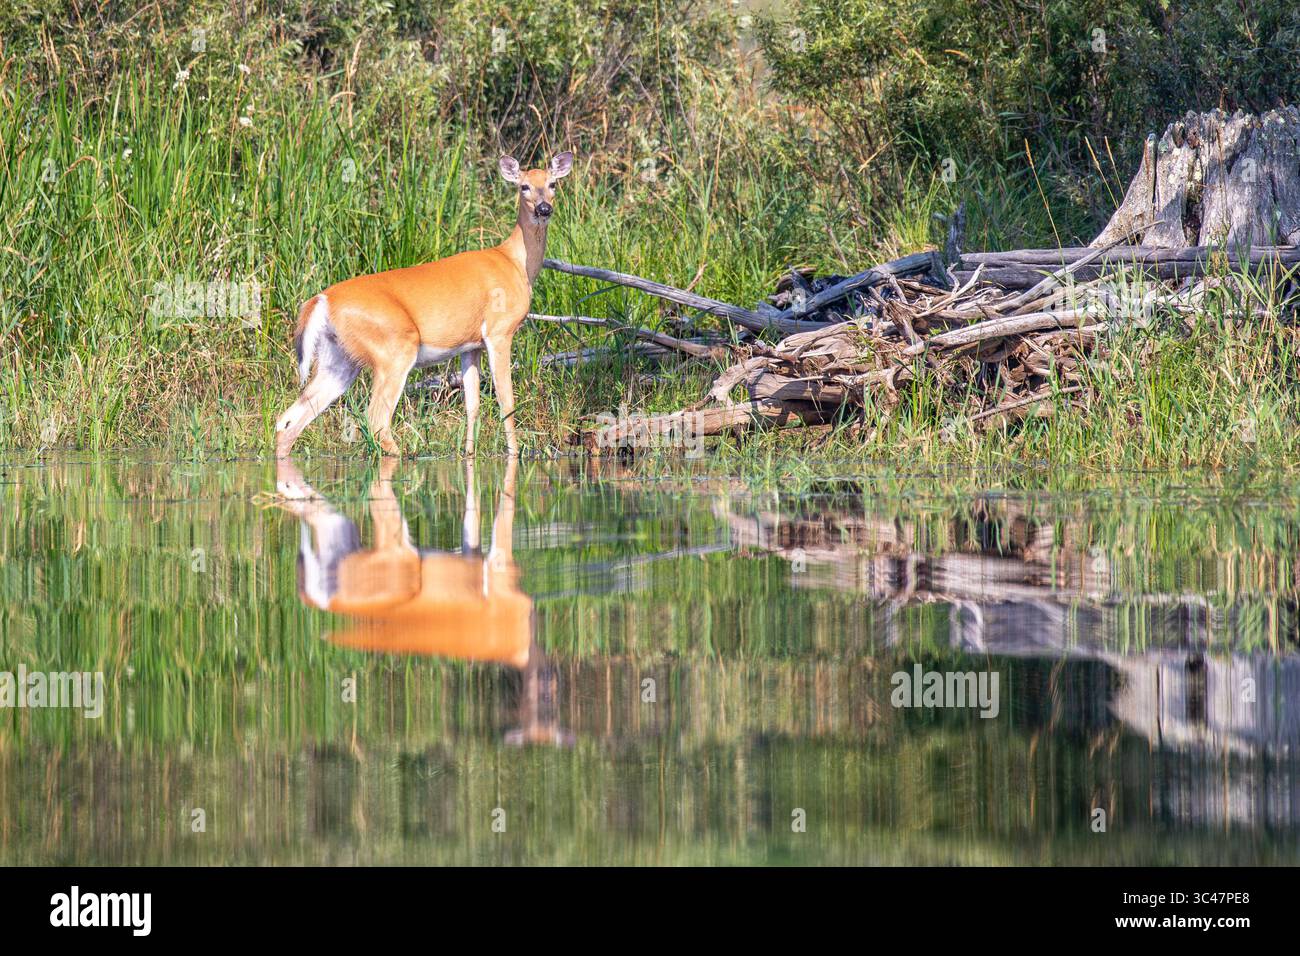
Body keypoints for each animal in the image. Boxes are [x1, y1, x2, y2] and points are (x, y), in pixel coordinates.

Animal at [274, 151, 575, 459]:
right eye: (524, 186)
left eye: (552, 184)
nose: (544, 209)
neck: (515, 263)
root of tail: (323, 299)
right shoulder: (499, 330)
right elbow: (507, 399)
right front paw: (514, 453)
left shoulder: (471, 346)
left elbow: (472, 405)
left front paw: (469, 454)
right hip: (395, 348)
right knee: (376, 418)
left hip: (339, 358)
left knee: (288, 419)